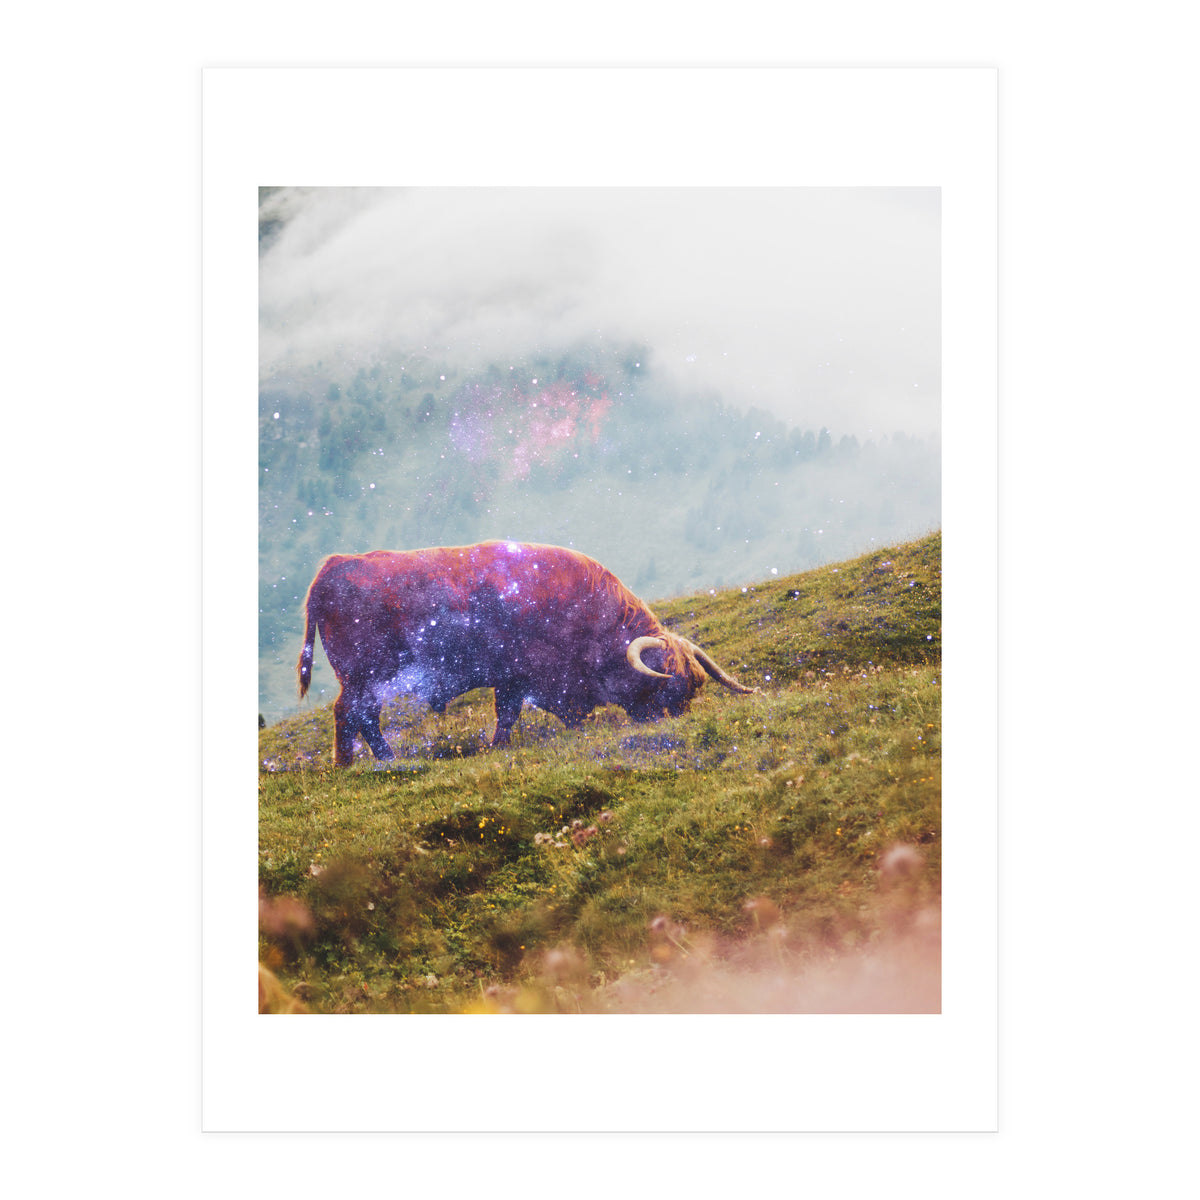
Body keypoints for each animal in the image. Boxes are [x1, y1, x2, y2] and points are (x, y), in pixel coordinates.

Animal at [297, 540, 757, 766]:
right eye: (668, 685)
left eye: (693, 686)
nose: (675, 722)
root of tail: (333, 567)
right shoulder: (524, 674)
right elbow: (512, 714)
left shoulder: (515, 680)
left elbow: (511, 713)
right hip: (365, 676)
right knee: (353, 714)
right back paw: (367, 762)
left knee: (358, 716)